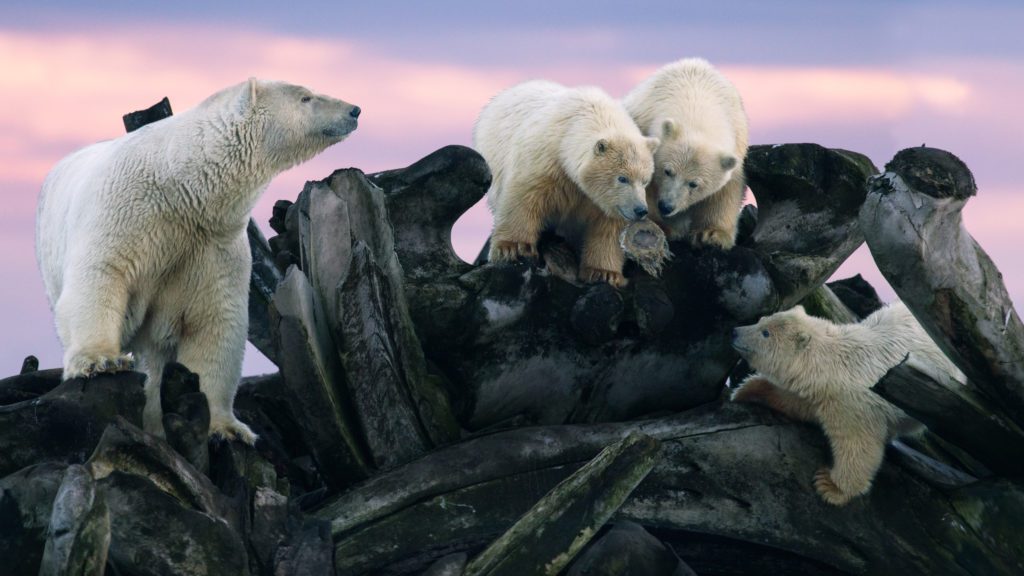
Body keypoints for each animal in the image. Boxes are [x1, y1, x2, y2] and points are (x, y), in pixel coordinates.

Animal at [36, 78, 360, 444]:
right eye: (306, 97)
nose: (354, 110)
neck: (178, 187)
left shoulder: (211, 246)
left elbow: (214, 321)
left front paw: (227, 429)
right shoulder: (126, 212)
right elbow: (102, 274)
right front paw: (101, 360)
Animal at [474, 80, 660, 288]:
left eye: (645, 180)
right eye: (622, 178)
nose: (640, 210)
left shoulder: (605, 201)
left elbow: (608, 228)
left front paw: (604, 273)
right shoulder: (546, 161)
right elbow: (523, 197)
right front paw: (513, 248)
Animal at [623, 58, 748, 249]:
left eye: (694, 184)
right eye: (667, 171)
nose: (666, 206)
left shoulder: (736, 142)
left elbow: (725, 190)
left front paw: (711, 234)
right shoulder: (643, 124)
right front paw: (664, 227)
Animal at [729, 302, 965, 505]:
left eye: (765, 333)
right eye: (762, 319)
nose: (735, 331)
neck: (836, 364)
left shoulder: (855, 403)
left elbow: (859, 446)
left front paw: (830, 486)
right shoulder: (821, 394)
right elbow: (796, 403)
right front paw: (747, 390)